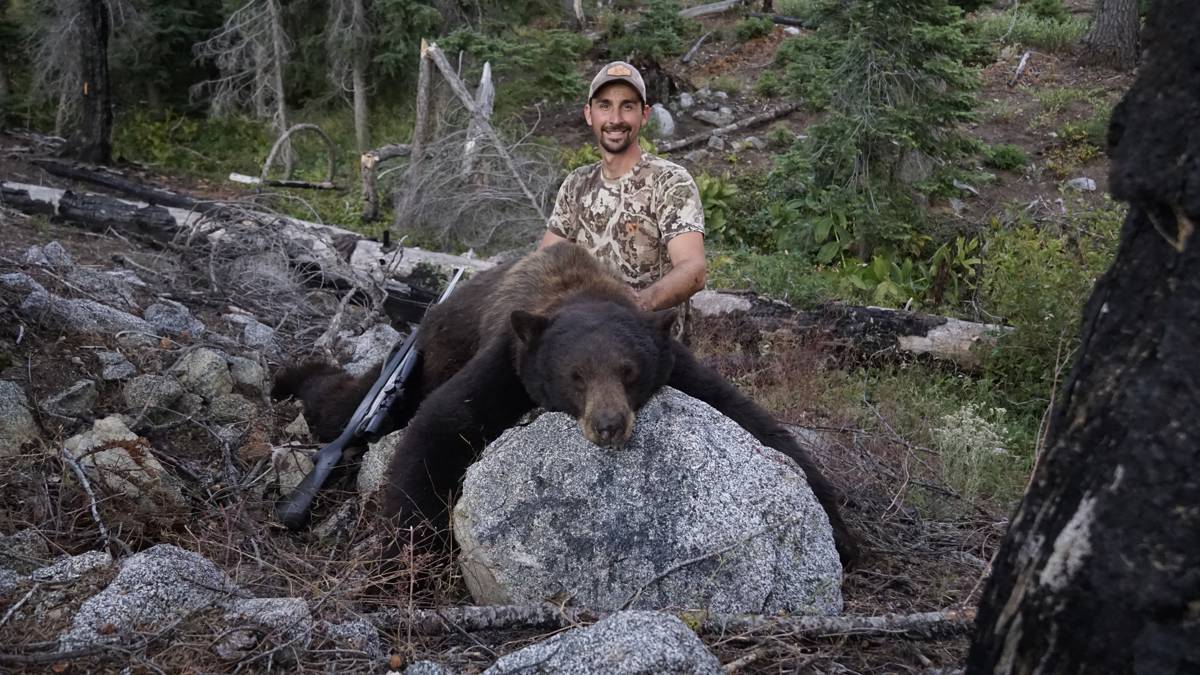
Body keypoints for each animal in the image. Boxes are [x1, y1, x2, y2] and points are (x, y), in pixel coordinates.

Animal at [379, 241, 859, 562]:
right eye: (575, 375)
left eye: (627, 371)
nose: (608, 425)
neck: (577, 288)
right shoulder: (510, 359)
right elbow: (444, 420)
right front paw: (409, 544)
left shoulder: (671, 359)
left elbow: (750, 417)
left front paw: (838, 531)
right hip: (440, 349)